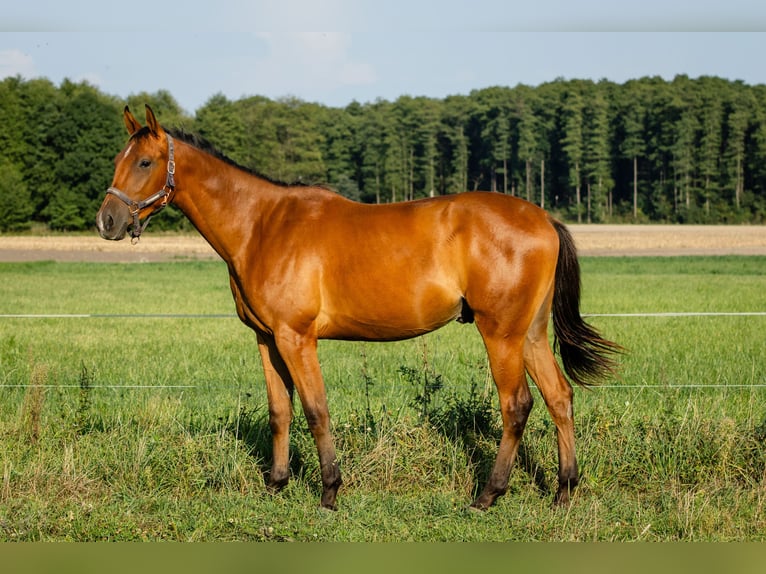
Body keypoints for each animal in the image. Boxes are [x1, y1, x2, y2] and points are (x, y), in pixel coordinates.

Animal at [97, 106, 624, 510]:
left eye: (144, 162)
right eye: (119, 159)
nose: (107, 220)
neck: (263, 225)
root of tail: (544, 218)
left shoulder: (296, 338)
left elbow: (316, 410)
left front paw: (330, 492)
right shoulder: (267, 338)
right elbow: (280, 411)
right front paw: (276, 485)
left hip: (502, 335)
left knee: (516, 406)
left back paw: (488, 495)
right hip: (530, 334)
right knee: (559, 398)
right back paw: (563, 492)